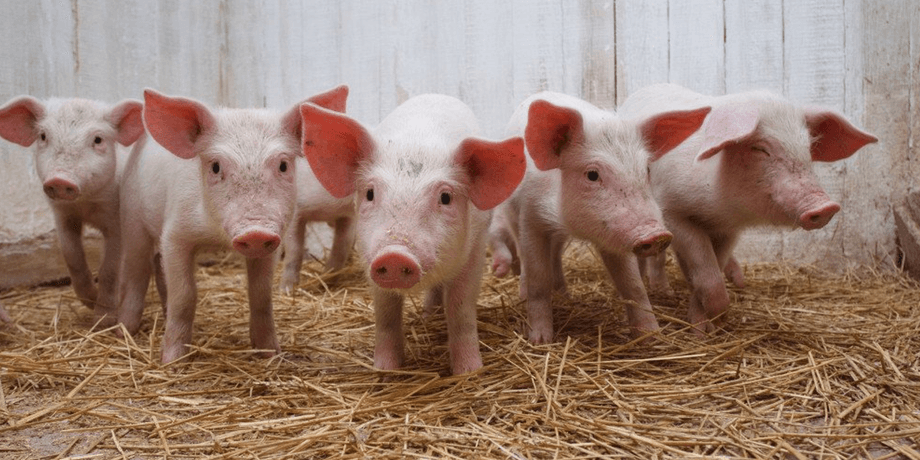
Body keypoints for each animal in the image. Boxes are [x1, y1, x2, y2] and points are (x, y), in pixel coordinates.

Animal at [0, 97, 145, 323]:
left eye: (98, 139)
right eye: (43, 136)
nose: (60, 180)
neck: (85, 204)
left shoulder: (117, 221)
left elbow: (110, 269)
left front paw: (102, 319)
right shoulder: (62, 215)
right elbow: (72, 256)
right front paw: (90, 300)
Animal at [278, 156, 356, 295]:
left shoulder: (348, 217)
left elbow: (341, 249)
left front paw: (326, 282)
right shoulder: (296, 210)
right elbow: (294, 250)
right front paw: (286, 290)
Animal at [300, 94, 526, 375]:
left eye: (445, 197)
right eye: (370, 193)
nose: (395, 254)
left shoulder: (474, 251)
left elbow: (461, 308)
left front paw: (468, 372)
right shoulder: (370, 258)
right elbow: (385, 313)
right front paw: (385, 372)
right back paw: (428, 315)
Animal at [489, 92, 711, 344]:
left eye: (646, 170)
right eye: (592, 175)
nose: (656, 234)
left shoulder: (614, 234)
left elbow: (633, 284)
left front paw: (653, 337)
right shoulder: (531, 217)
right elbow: (538, 278)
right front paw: (540, 341)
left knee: (556, 255)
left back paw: (565, 295)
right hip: (511, 214)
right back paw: (527, 295)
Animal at [619, 83, 877, 333]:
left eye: (808, 147)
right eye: (761, 149)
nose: (826, 206)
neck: (718, 206)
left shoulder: (729, 230)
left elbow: (712, 267)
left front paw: (708, 328)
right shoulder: (672, 212)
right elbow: (706, 272)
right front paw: (708, 327)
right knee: (657, 256)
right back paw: (660, 291)